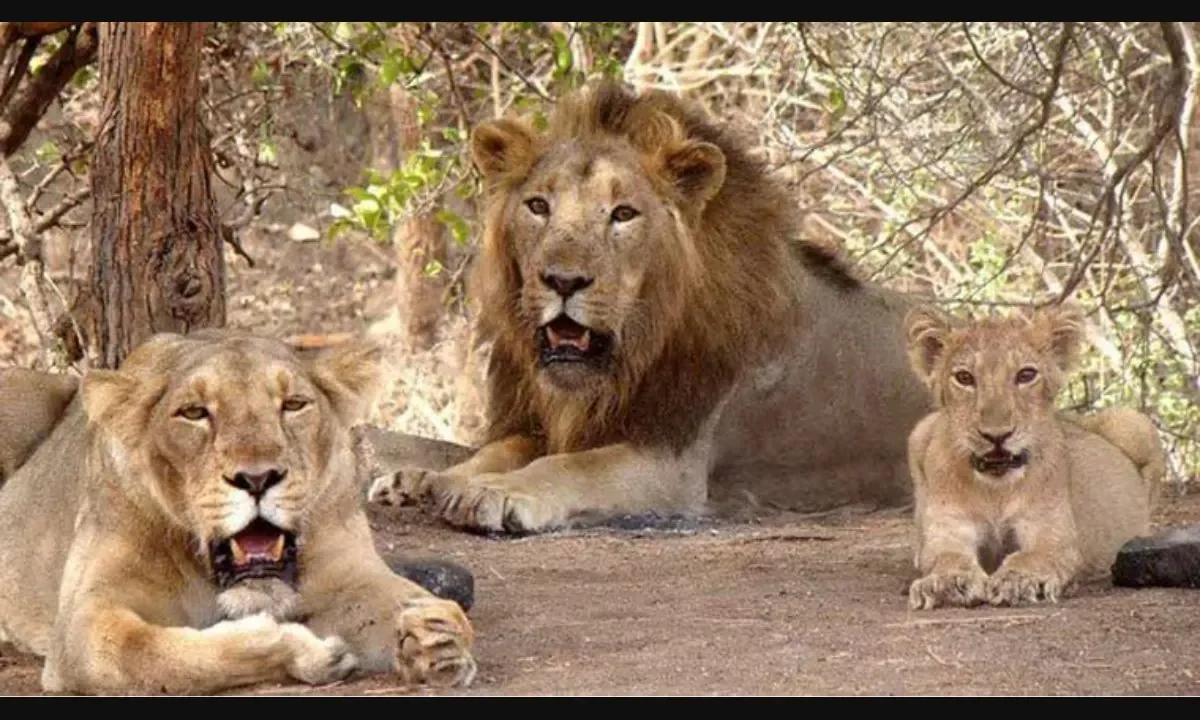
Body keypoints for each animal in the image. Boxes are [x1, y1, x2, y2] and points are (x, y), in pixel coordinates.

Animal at [0, 329, 477, 695]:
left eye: (293, 404)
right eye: (194, 413)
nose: (258, 478)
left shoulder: (349, 573)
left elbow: (404, 601)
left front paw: (438, 636)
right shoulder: (83, 622)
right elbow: (160, 657)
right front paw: (304, 651)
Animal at [366, 79, 933, 534]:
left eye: (623, 214)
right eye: (538, 206)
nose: (562, 280)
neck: (630, 355)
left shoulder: (672, 463)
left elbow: (573, 467)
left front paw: (494, 492)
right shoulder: (546, 422)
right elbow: (496, 450)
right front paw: (427, 479)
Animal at [902, 303, 1162, 610]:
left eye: (1026, 375)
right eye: (964, 378)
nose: (997, 435)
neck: (996, 490)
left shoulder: (1052, 534)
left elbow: (1032, 557)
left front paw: (1020, 581)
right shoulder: (949, 529)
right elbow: (946, 557)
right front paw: (946, 582)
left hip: (1133, 422)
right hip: (920, 431)